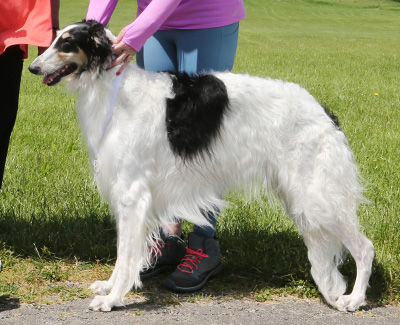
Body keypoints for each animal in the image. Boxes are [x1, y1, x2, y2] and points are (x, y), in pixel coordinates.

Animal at [28, 20, 376, 312]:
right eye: (54, 39)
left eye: (67, 43)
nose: (33, 67)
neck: (114, 86)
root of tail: (323, 112)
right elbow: (124, 252)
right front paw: (108, 287)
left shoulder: (131, 194)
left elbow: (126, 255)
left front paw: (113, 299)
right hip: (298, 196)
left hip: (317, 198)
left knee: (366, 247)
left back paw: (354, 299)